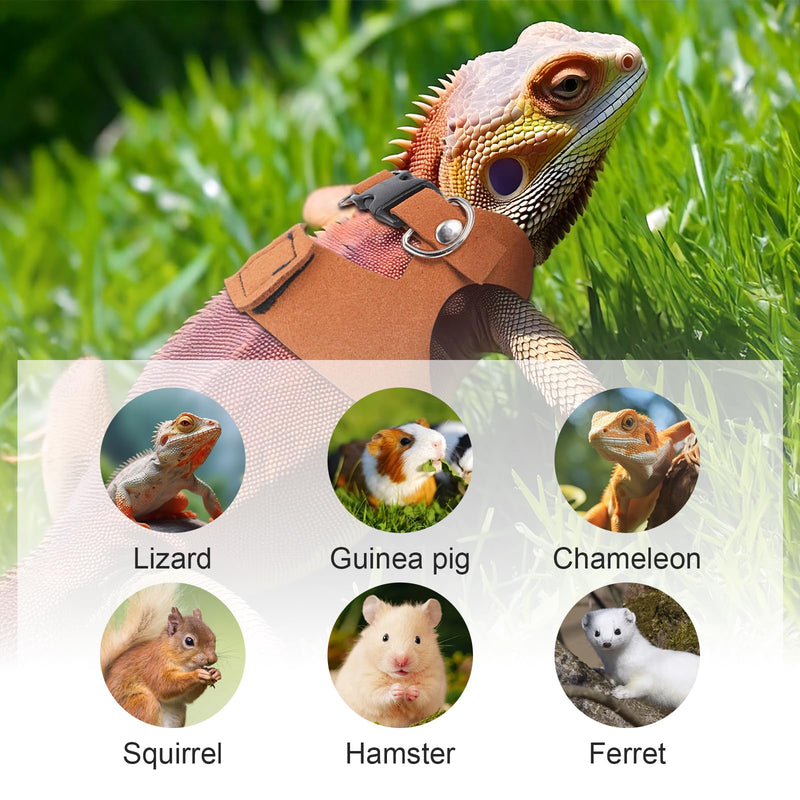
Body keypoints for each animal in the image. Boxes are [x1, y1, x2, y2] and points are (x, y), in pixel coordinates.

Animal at [100, 585, 221, 727]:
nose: (212, 659)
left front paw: (215, 673)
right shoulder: (153, 666)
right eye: (189, 641)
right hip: (144, 703)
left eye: (213, 637)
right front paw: (198, 674)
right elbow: (164, 685)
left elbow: (187, 697)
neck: (184, 665)